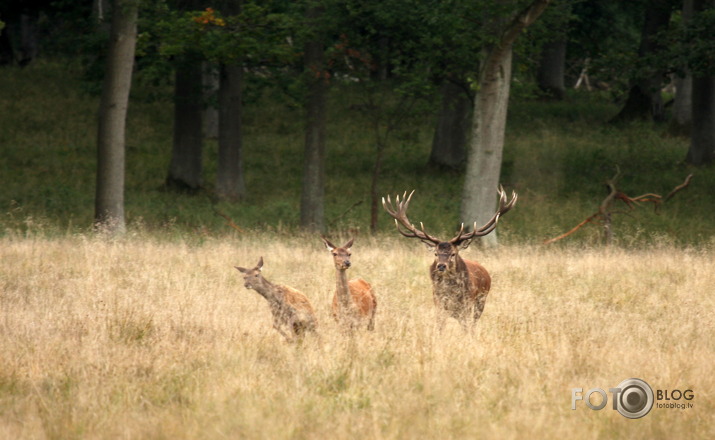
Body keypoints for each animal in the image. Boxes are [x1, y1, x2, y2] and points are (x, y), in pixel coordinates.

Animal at [384, 187, 516, 328]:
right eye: (436, 253)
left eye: (453, 253)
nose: (441, 265)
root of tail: (485, 272)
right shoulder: (439, 304)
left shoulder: (466, 306)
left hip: (481, 300)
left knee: (474, 324)